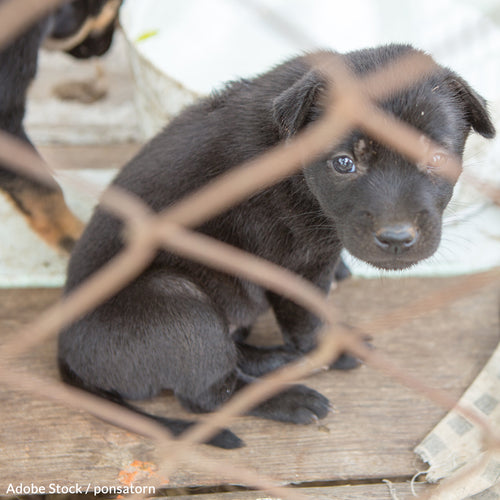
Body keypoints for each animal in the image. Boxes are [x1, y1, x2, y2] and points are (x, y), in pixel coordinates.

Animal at [57, 45, 492, 448]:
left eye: (436, 157)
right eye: (344, 163)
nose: (397, 237)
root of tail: (65, 352)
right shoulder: (294, 266)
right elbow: (308, 320)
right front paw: (331, 349)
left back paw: (274, 360)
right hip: (180, 306)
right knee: (208, 394)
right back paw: (288, 397)